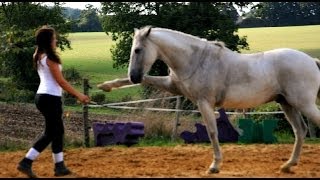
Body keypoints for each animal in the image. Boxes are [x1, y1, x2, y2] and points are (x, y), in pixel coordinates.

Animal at [97, 26, 320, 174]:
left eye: (138, 50)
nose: (134, 75)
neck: (195, 60)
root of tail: (311, 60)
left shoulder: (204, 103)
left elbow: (212, 132)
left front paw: (214, 166)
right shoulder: (172, 85)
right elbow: (146, 79)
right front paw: (106, 86)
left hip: (303, 104)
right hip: (287, 104)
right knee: (300, 131)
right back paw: (288, 165)